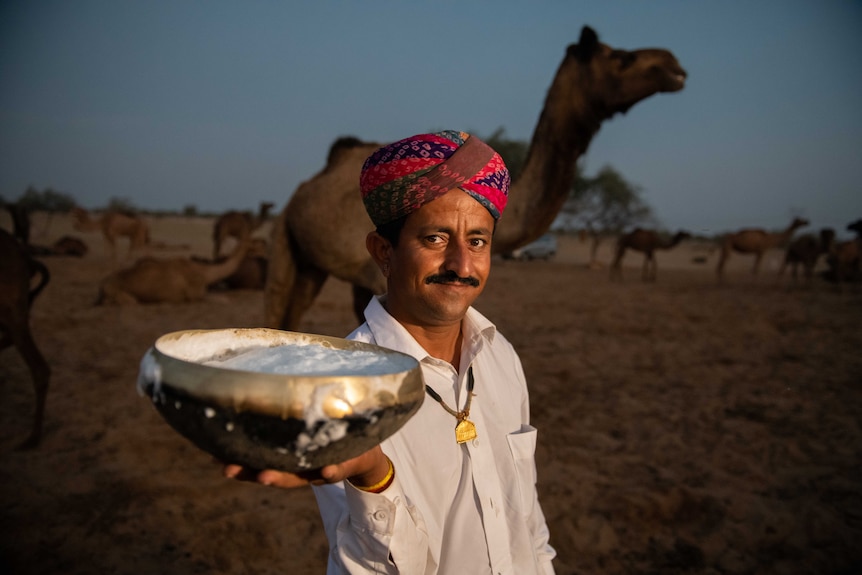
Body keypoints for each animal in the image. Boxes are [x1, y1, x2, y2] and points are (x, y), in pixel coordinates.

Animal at [99, 228, 253, 304]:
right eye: (255, 240)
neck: (205, 272)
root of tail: (103, 283)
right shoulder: (195, 294)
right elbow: (222, 299)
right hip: (116, 291)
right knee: (127, 301)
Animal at [264, 27, 688, 330]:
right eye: (621, 57)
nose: (675, 66)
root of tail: (303, 190)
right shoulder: (378, 278)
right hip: (285, 239)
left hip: (311, 262)